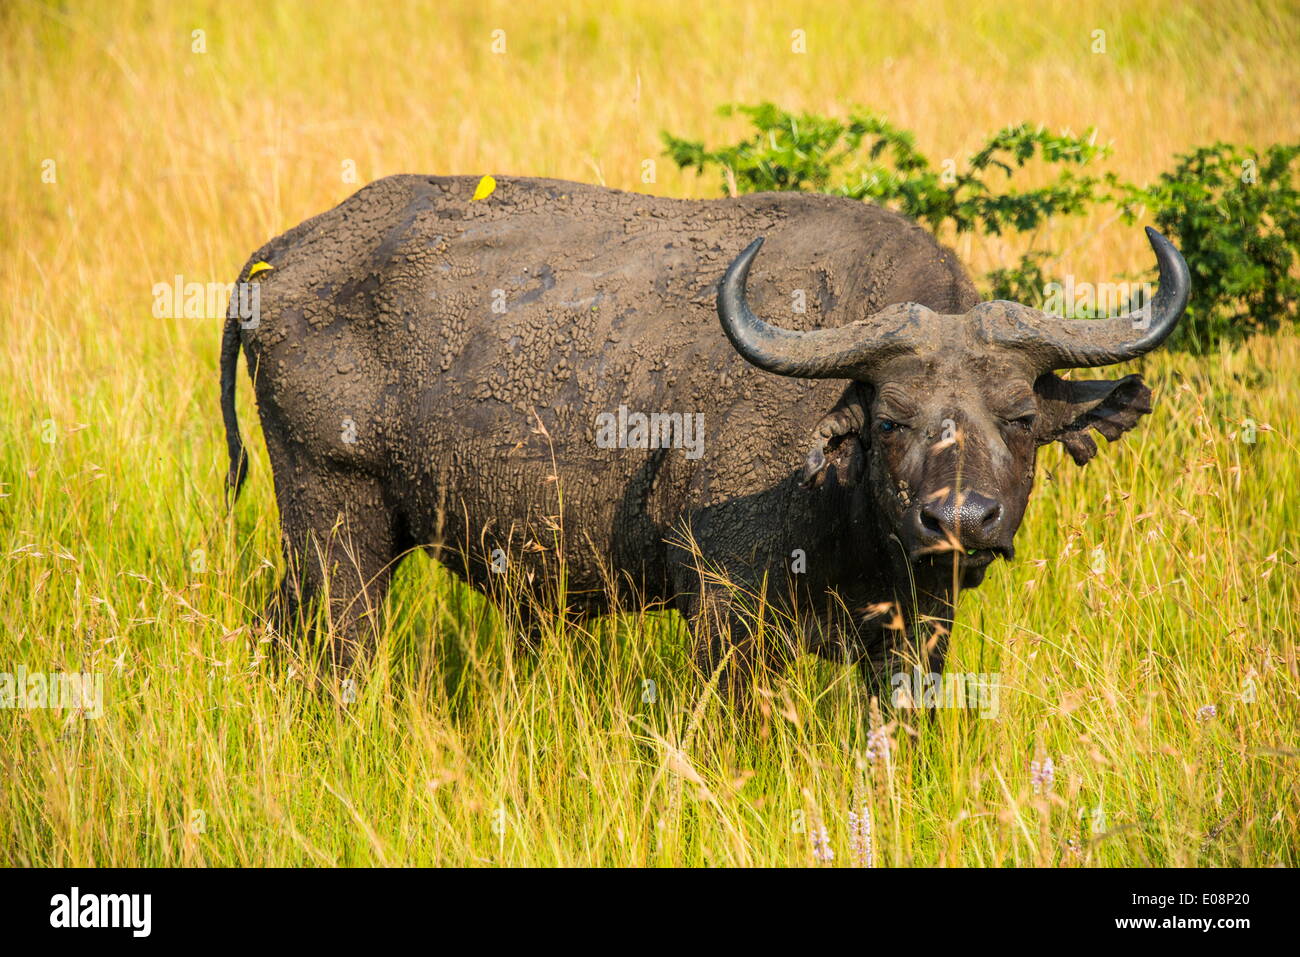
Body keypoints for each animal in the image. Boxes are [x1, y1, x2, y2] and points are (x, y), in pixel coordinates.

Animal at [221, 175, 1188, 695]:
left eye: (1021, 417)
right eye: (890, 419)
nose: (959, 519)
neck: (842, 498)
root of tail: (279, 257)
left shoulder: (919, 622)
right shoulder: (726, 606)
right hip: (335, 526)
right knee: (341, 647)